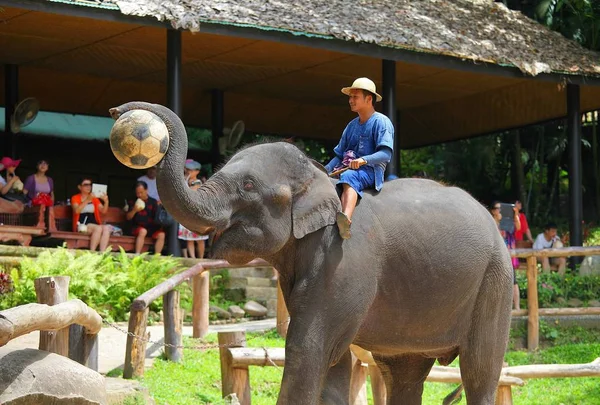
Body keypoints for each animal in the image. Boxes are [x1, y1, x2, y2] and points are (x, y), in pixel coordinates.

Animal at [110, 102, 512, 402]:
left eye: (249, 185)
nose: (116, 110)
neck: (317, 178)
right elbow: (335, 363)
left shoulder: (344, 260)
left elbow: (309, 350)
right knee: (404, 372)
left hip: (495, 284)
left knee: (479, 370)